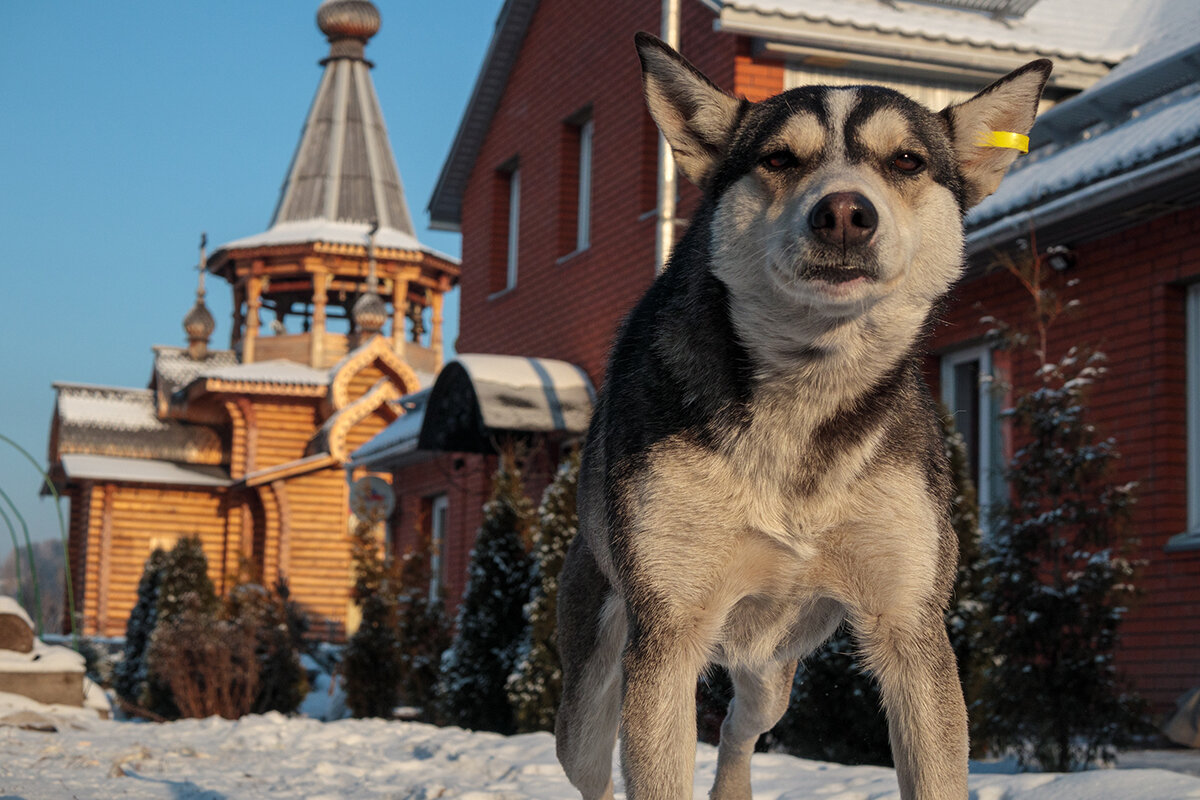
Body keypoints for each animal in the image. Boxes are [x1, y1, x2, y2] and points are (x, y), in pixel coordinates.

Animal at [554, 31, 1051, 800]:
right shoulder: (667, 636)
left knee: (739, 725)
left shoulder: (912, 630)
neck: (807, 392)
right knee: (592, 765)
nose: (845, 212)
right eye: (779, 159)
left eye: (906, 161)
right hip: (591, 692)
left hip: (772, 670)